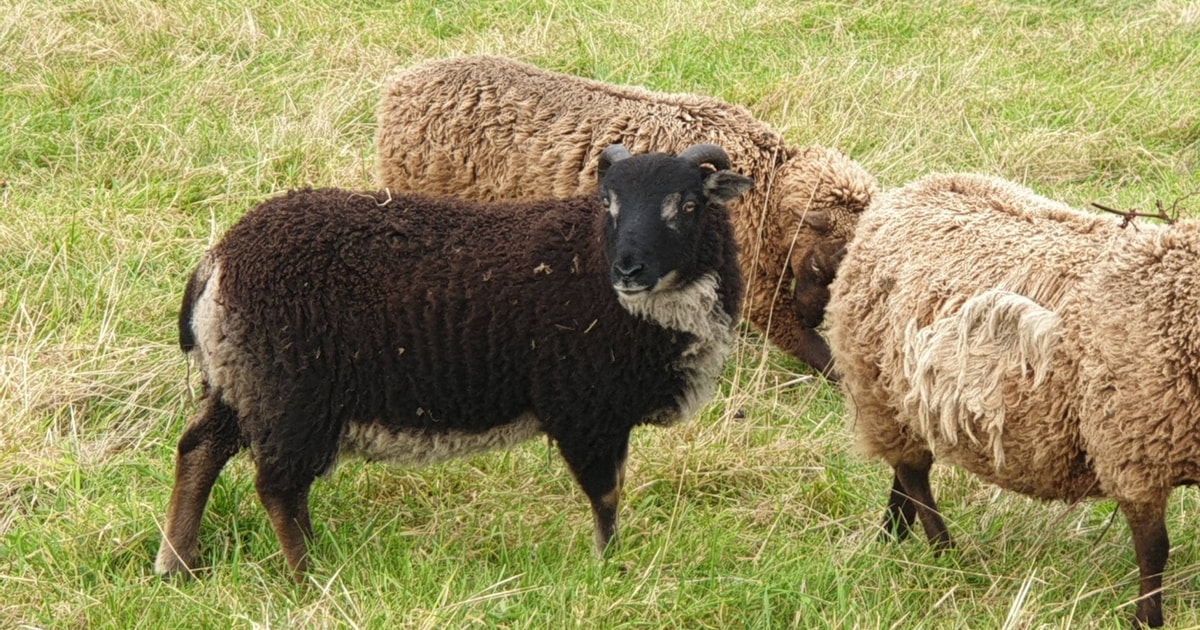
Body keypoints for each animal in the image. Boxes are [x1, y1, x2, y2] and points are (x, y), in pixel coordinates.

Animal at [154, 144, 752, 578]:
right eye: (608, 203)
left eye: (689, 205)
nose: (628, 270)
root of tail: (219, 260)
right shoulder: (583, 409)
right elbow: (607, 496)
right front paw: (610, 570)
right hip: (291, 393)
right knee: (278, 487)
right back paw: (309, 577)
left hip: (241, 381)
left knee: (199, 448)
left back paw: (178, 563)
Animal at [375, 54, 877, 379]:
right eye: (819, 265)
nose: (815, 315)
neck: (765, 184)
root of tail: (400, 86)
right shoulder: (753, 277)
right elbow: (804, 343)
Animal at [826, 172, 1200, 627]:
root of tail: (902, 195)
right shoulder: (1132, 457)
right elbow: (1154, 550)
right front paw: (1147, 618)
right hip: (874, 388)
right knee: (913, 473)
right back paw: (943, 551)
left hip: (906, 401)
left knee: (906, 469)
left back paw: (892, 534)